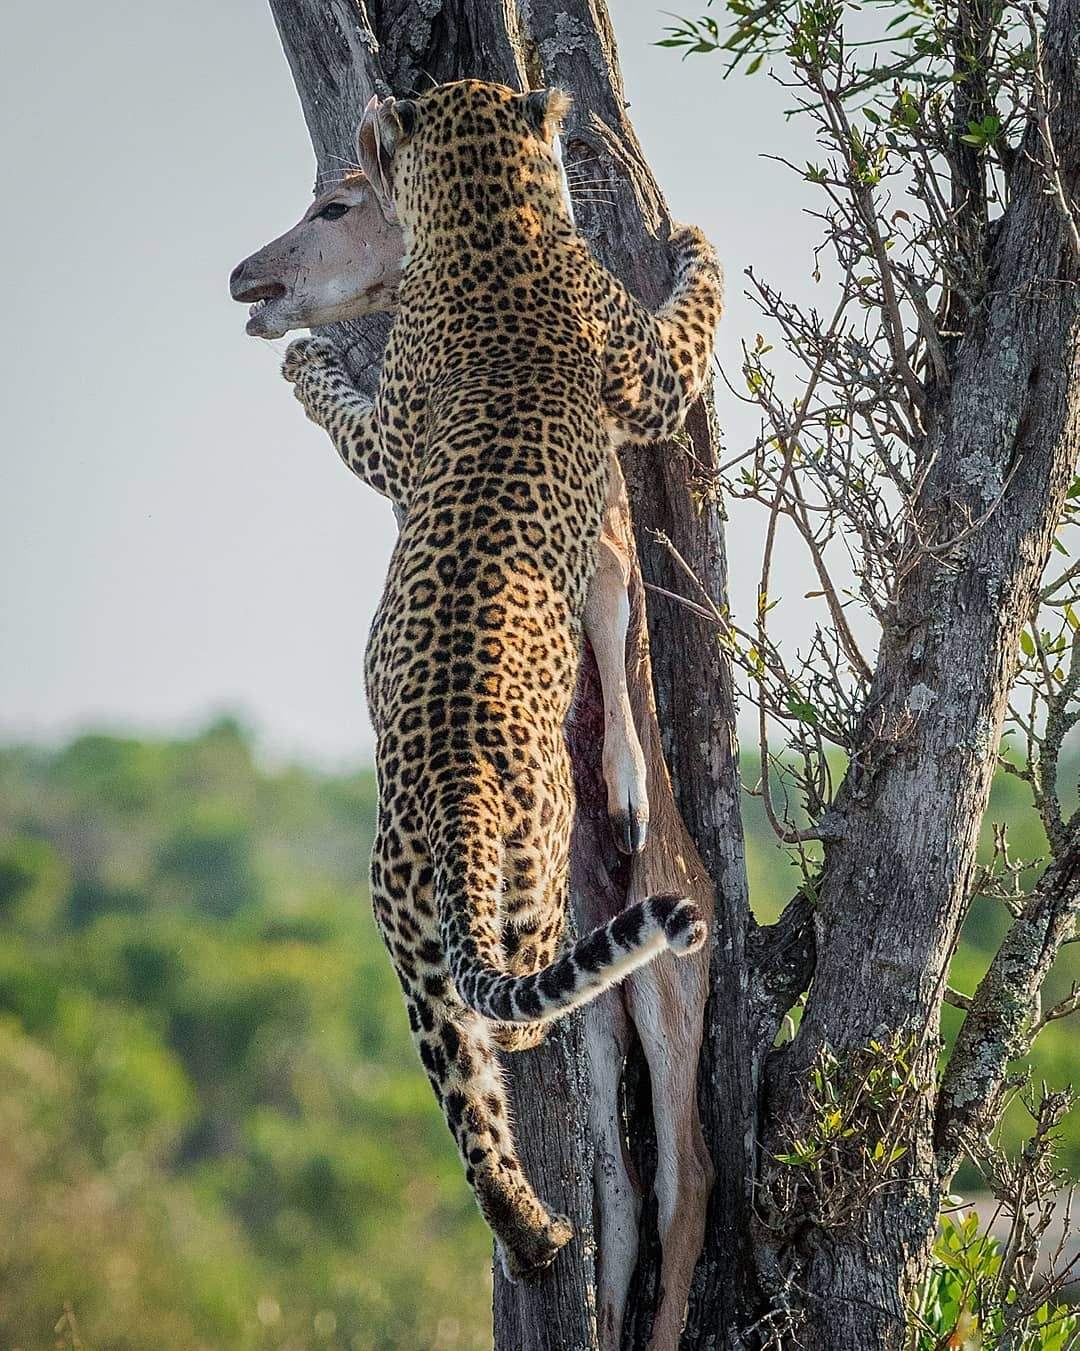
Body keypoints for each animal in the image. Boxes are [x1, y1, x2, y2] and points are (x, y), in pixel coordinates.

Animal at [278, 79, 724, 1280]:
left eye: (339, 202)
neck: (491, 212)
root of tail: (452, 793)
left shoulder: (401, 433)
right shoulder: (647, 380)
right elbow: (695, 314)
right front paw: (698, 241)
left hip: (410, 945)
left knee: (471, 1097)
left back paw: (534, 1233)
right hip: (532, 869)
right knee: (522, 1011)